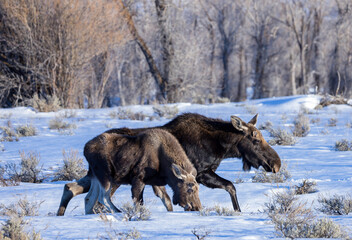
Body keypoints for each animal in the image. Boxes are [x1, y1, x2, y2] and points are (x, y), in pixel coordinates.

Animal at [58, 112, 284, 216]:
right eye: (255, 139)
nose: (276, 163)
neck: (220, 147)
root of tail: (87, 146)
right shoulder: (201, 173)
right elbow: (230, 186)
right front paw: (237, 211)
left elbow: (230, 187)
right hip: (113, 178)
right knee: (95, 199)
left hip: (101, 176)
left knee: (72, 188)